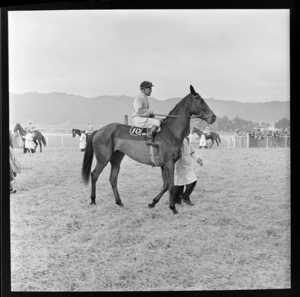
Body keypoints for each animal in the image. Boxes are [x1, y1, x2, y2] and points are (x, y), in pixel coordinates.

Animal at [81, 84, 216, 214]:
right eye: (201, 100)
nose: (213, 117)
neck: (171, 132)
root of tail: (99, 130)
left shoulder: (164, 165)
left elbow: (165, 185)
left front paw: (153, 203)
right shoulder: (169, 163)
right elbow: (171, 185)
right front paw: (173, 208)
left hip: (116, 158)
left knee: (113, 179)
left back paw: (119, 202)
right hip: (103, 159)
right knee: (94, 175)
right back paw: (93, 200)